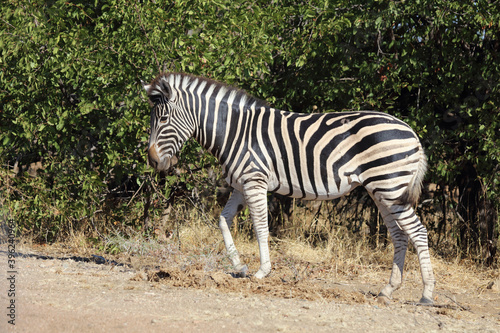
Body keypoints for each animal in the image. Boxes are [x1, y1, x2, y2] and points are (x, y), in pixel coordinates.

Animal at [144, 72, 434, 304]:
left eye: (164, 118)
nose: (153, 161)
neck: (234, 132)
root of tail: (411, 131)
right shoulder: (240, 184)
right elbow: (223, 220)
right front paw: (239, 265)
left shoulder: (254, 180)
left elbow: (260, 226)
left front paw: (263, 271)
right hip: (382, 191)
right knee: (399, 235)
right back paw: (388, 289)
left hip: (391, 187)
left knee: (418, 232)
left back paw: (427, 294)